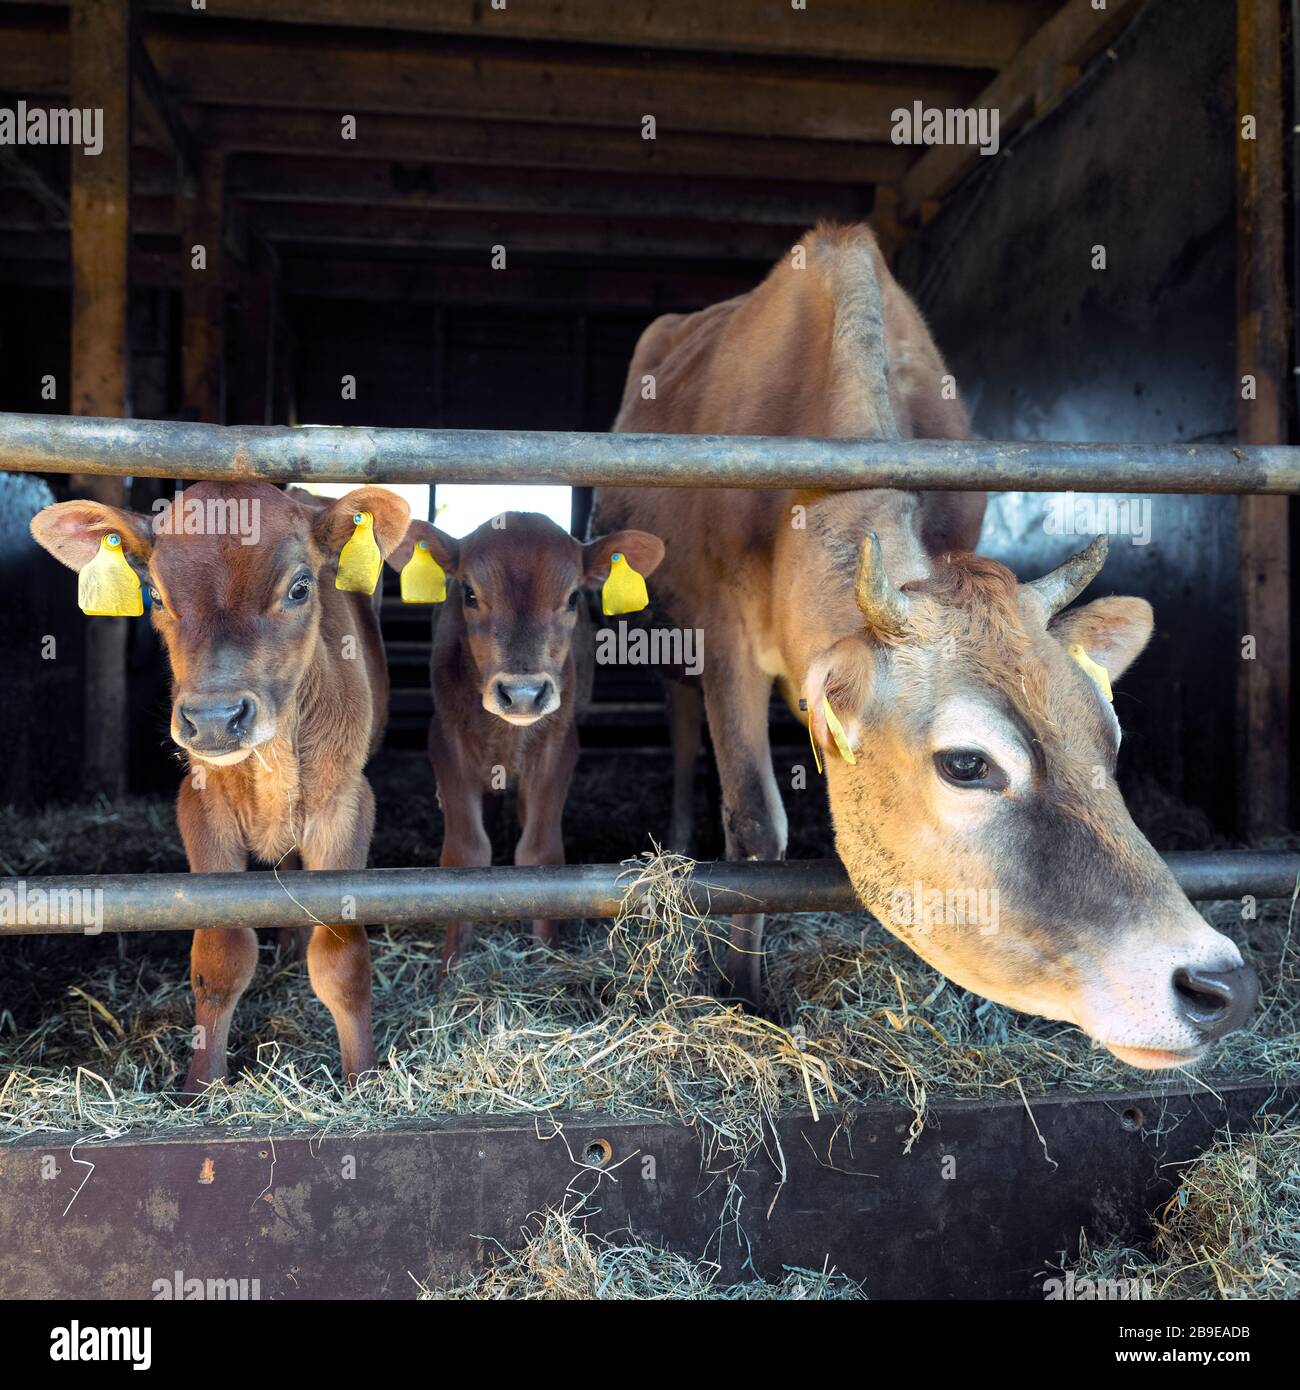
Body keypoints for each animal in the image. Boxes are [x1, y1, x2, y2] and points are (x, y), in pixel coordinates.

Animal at [31, 481, 411, 1093]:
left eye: (301, 587)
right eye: (155, 596)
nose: (213, 719)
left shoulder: (346, 806)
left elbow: (343, 961)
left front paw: (363, 1081)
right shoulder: (201, 807)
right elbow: (220, 956)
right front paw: (199, 1090)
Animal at [386, 511, 663, 974]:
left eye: (572, 598)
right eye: (469, 593)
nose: (522, 693)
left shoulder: (559, 747)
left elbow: (540, 854)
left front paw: (545, 956)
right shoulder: (446, 742)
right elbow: (463, 854)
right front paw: (451, 968)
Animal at [597, 222, 1257, 1069]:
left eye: (1110, 741)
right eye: (967, 765)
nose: (1220, 985)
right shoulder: (725, 635)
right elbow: (756, 822)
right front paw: (743, 990)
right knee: (682, 728)